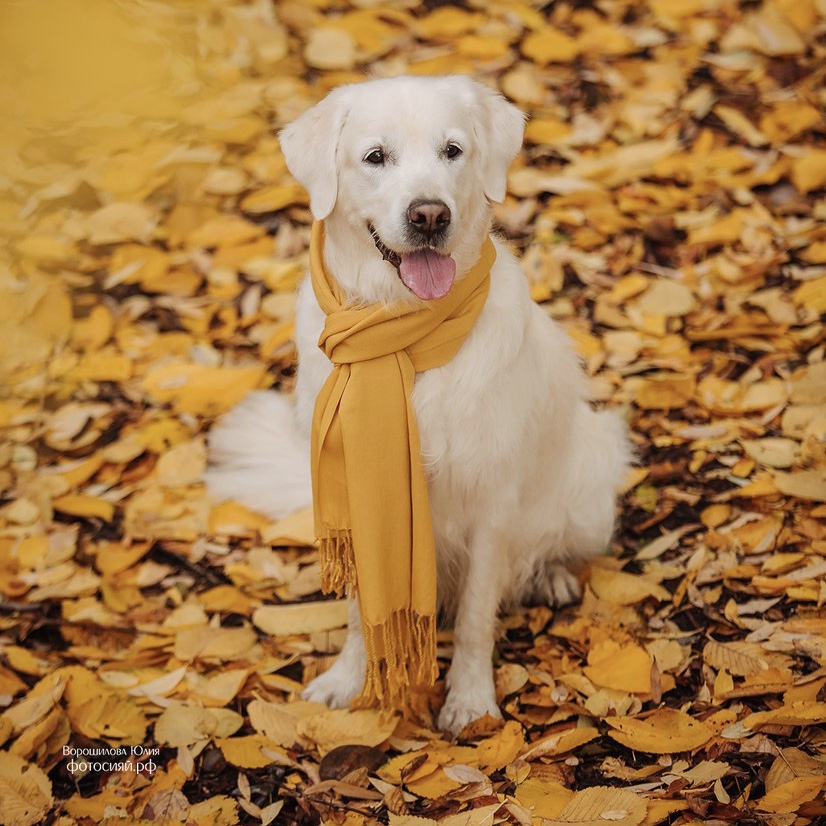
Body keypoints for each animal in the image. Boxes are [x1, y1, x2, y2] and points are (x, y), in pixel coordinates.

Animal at [208, 75, 632, 732]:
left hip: (591, 472)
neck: (400, 333)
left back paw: (553, 576)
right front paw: (348, 680)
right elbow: (362, 610)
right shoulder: (352, 493)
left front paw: (471, 701)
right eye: (375, 156)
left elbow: (479, 614)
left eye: (452, 151)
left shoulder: (492, 498)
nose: (430, 214)